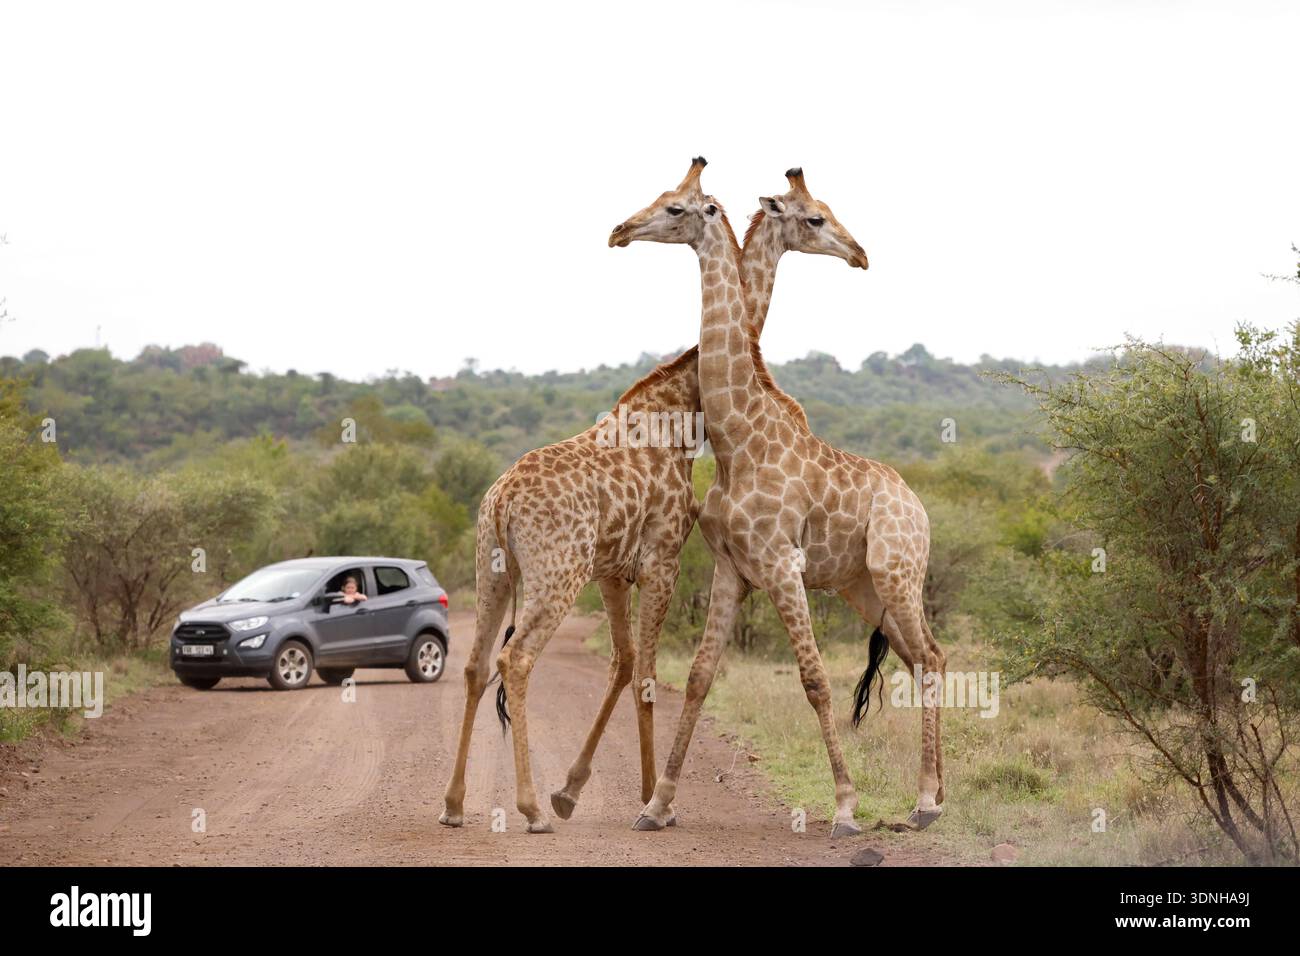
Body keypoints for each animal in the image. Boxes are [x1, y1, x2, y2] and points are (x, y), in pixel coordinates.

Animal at [612, 167, 945, 837]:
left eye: (677, 207)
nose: (620, 231)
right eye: (816, 217)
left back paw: (924, 803)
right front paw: (657, 806)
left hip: (898, 572)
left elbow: (815, 679)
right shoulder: (731, 569)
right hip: (866, 588)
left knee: (926, 657)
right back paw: (936, 796)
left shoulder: (783, 567)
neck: (736, 439)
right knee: (928, 657)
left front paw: (844, 808)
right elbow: (699, 676)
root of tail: (918, 506)